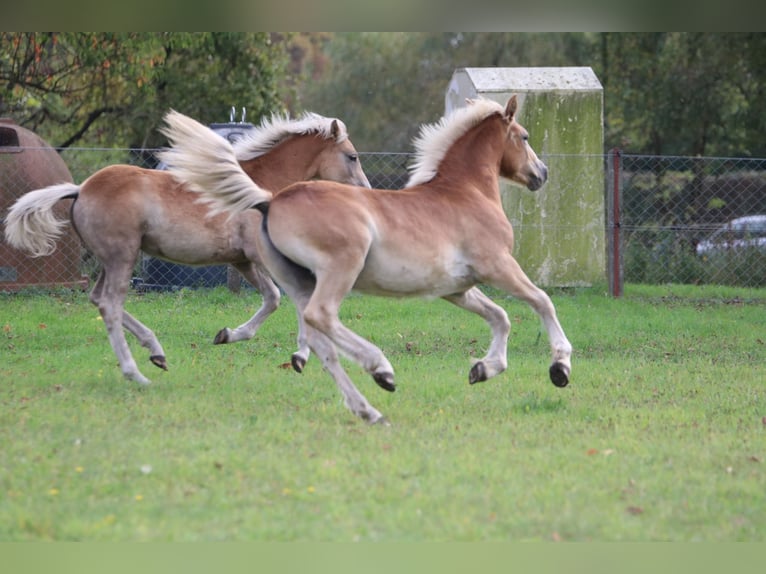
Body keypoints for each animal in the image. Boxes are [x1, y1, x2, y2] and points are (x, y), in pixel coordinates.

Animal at [5, 110, 372, 384]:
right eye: (352, 156)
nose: (367, 192)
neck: (260, 187)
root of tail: (81, 189)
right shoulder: (261, 258)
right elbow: (290, 301)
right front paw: (298, 356)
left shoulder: (242, 262)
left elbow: (273, 299)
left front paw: (228, 335)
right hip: (122, 257)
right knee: (110, 304)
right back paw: (136, 373)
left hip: (112, 261)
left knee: (98, 299)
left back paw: (156, 352)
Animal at [164, 97, 568, 426]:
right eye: (525, 136)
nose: (542, 174)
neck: (464, 193)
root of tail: (271, 199)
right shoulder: (498, 266)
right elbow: (542, 302)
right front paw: (560, 367)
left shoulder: (456, 289)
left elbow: (500, 317)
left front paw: (484, 369)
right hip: (341, 269)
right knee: (322, 317)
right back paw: (381, 369)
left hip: (298, 282)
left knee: (321, 342)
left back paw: (367, 410)